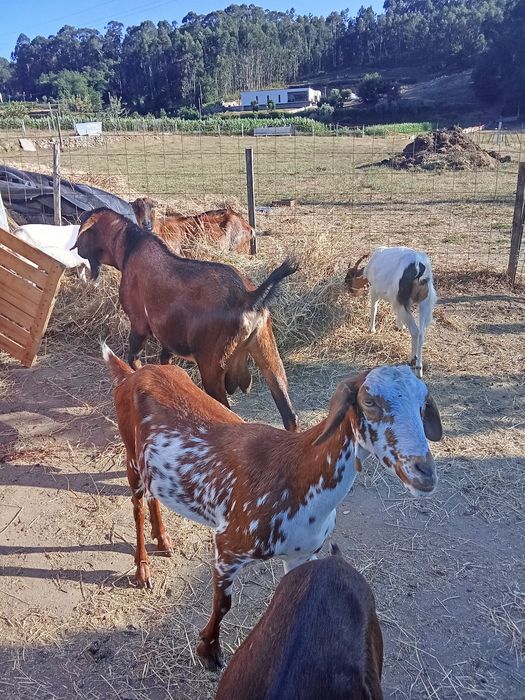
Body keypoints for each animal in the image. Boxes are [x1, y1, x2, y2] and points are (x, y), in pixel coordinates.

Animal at [74, 208, 297, 431]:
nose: (76, 251)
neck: (130, 246)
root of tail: (249, 297)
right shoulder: (168, 338)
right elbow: (165, 360)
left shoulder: (139, 324)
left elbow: (134, 359)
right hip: (266, 349)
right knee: (289, 414)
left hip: (211, 366)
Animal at [103, 345, 442, 671]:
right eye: (369, 401)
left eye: (423, 404)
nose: (424, 471)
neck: (297, 473)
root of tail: (133, 374)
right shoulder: (227, 548)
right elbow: (223, 605)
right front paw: (208, 651)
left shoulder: (302, 554)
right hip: (131, 457)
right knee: (137, 506)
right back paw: (143, 568)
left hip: (153, 469)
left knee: (153, 497)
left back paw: (163, 540)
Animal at [345, 247, 436, 378]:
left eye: (349, 277)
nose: (349, 290)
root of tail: (419, 268)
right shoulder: (398, 302)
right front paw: (400, 326)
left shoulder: (375, 289)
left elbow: (374, 307)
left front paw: (371, 329)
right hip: (425, 302)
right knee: (421, 334)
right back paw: (419, 368)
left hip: (405, 299)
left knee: (415, 331)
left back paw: (412, 360)